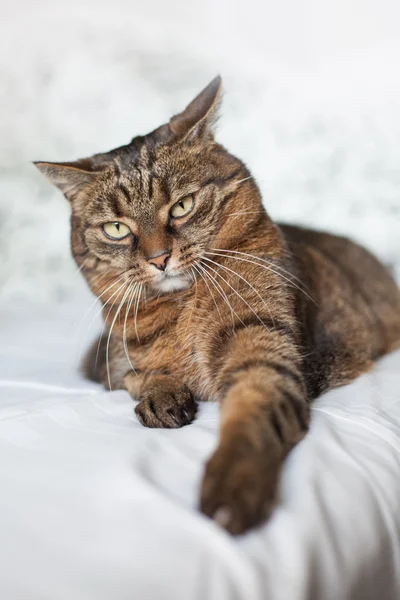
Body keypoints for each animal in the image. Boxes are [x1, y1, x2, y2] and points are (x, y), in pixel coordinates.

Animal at [34, 76, 400, 536]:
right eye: (117, 229)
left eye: (182, 206)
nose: (159, 258)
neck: (182, 310)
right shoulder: (106, 360)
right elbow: (138, 374)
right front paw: (162, 393)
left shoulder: (265, 347)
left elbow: (251, 411)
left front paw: (231, 486)